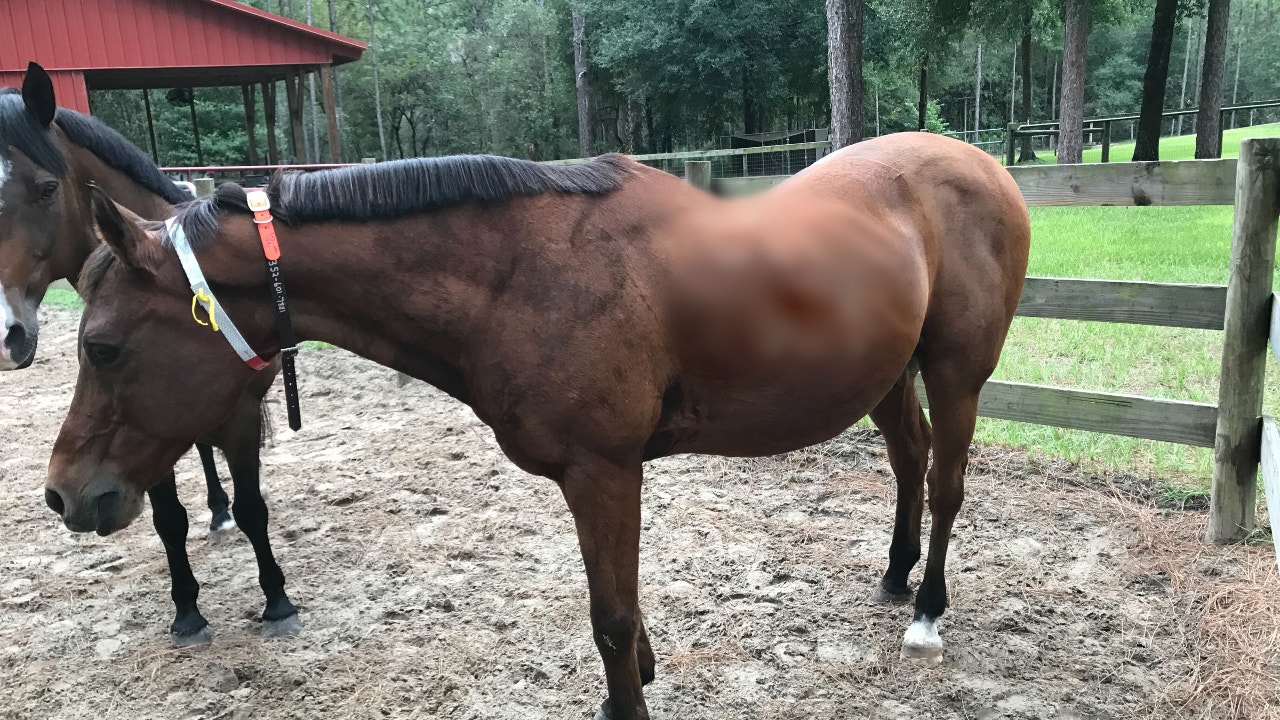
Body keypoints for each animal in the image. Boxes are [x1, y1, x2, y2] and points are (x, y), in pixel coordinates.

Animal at [0, 62, 298, 644]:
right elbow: (167, 519)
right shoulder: (146, 430)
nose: (7, 332)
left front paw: (277, 599)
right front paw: (187, 610)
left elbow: (254, 508)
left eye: (46, 189)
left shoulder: (236, 415)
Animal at [47, 131, 1029, 718]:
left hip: (957, 372)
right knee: (908, 465)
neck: (523, 274)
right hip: (887, 377)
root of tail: (980, 163)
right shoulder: (605, 478)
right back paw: (897, 576)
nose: (64, 496)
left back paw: (927, 612)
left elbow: (611, 617)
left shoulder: (604, 470)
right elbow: (621, 611)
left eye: (103, 347)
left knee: (945, 484)